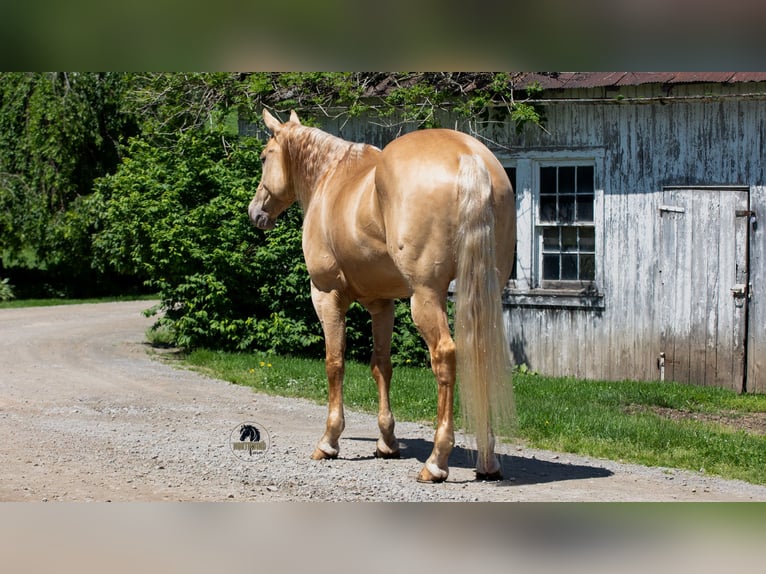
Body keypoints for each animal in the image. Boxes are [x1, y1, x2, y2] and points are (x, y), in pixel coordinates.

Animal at [249, 109, 516, 482]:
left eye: (264, 157)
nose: (256, 212)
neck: (330, 177)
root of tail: (469, 156)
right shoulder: (382, 304)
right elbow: (382, 366)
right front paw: (387, 442)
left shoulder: (326, 295)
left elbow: (335, 363)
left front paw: (329, 441)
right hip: (484, 290)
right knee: (482, 355)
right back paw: (488, 462)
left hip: (426, 297)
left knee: (445, 355)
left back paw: (436, 462)